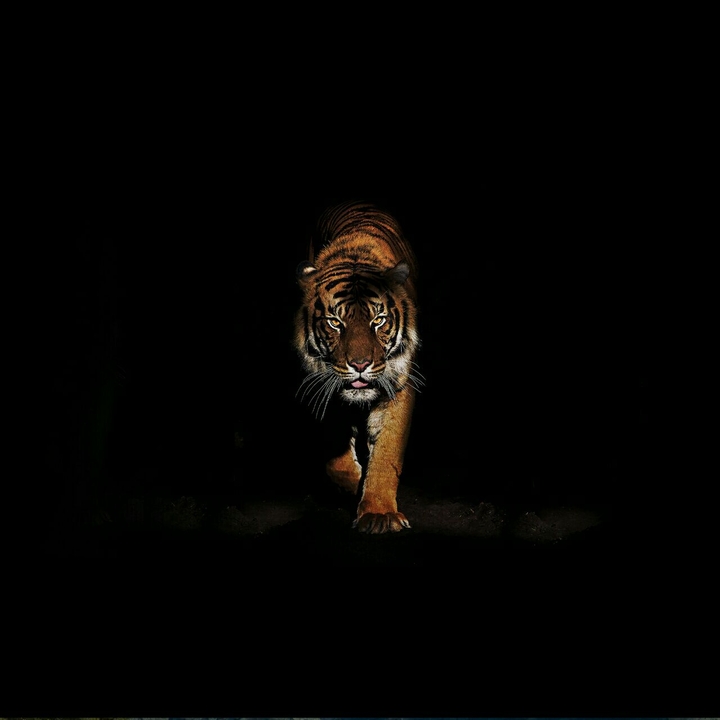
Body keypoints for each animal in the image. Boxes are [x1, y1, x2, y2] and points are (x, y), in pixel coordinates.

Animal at [294, 201, 423, 534]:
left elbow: (387, 453)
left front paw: (378, 514)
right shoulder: (322, 385)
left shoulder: (398, 386)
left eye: (378, 320)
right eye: (335, 323)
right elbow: (335, 454)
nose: (361, 364)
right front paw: (352, 487)